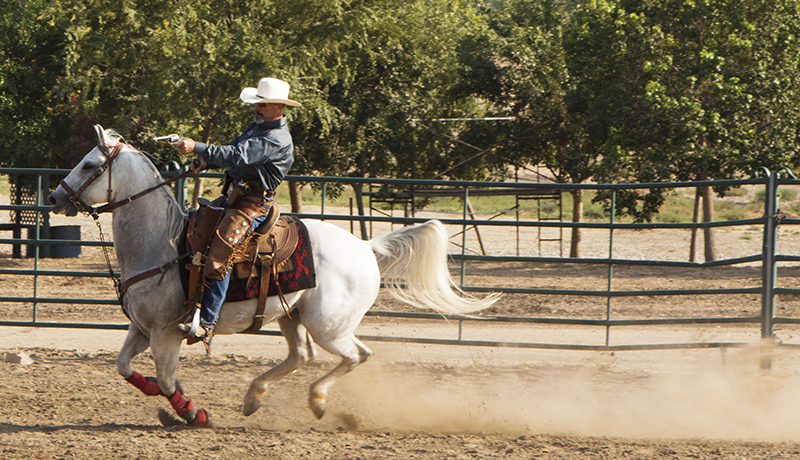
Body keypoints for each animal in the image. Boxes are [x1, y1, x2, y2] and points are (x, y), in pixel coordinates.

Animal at [47, 126, 496, 428]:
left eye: (89, 164)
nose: (54, 197)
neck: (163, 242)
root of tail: (366, 247)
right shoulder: (141, 328)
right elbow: (125, 368)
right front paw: (162, 395)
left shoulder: (166, 332)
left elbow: (169, 378)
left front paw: (194, 413)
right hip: (290, 315)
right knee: (301, 356)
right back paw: (254, 398)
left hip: (328, 325)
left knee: (356, 355)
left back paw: (317, 402)